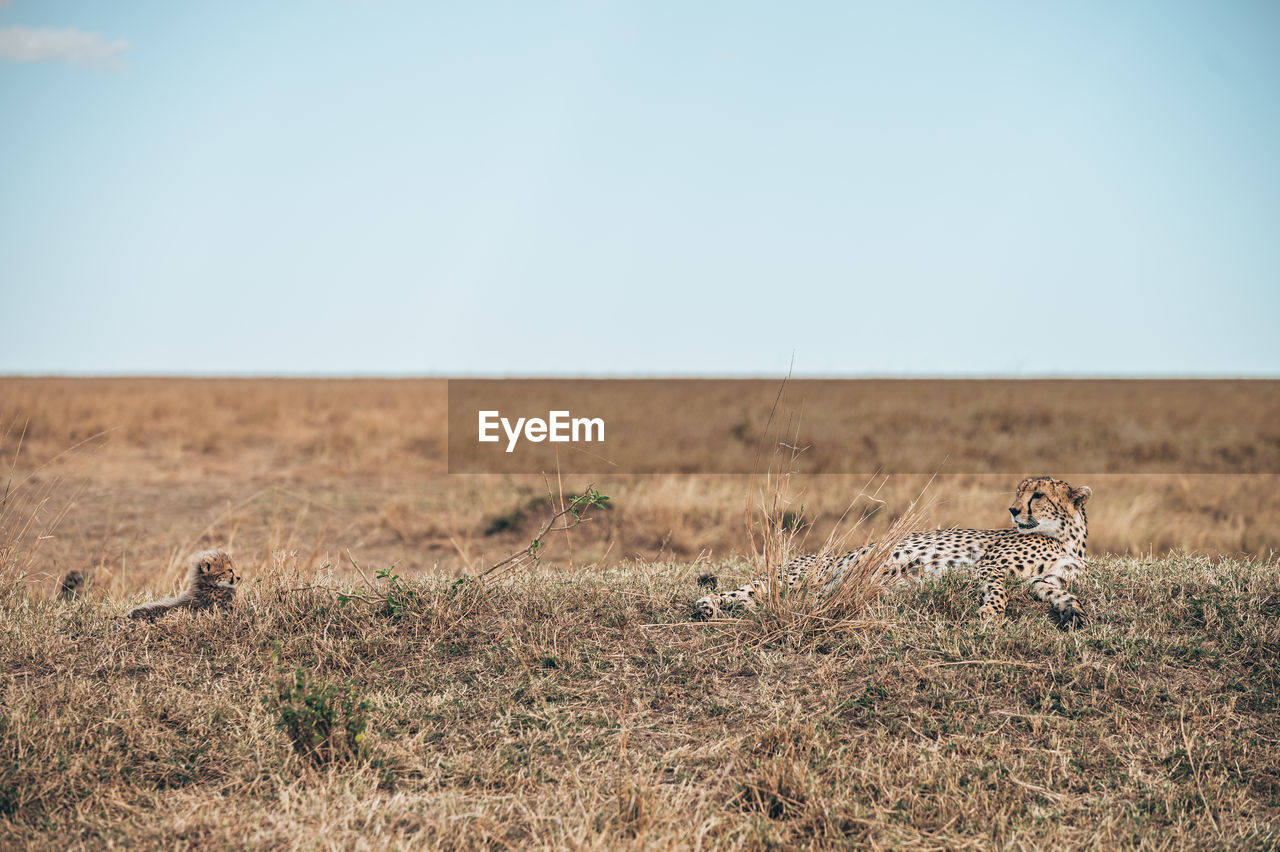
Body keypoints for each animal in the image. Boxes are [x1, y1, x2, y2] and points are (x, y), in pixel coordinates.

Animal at [691, 478, 1090, 624]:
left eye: (1037, 494)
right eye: (1020, 492)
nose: (1013, 510)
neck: (1066, 537)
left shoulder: (1044, 581)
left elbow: (1060, 593)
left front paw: (1074, 612)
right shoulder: (990, 564)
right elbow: (998, 593)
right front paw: (990, 615)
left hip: (815, 589)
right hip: (802, 576)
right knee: (743, 590)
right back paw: (707, 606)